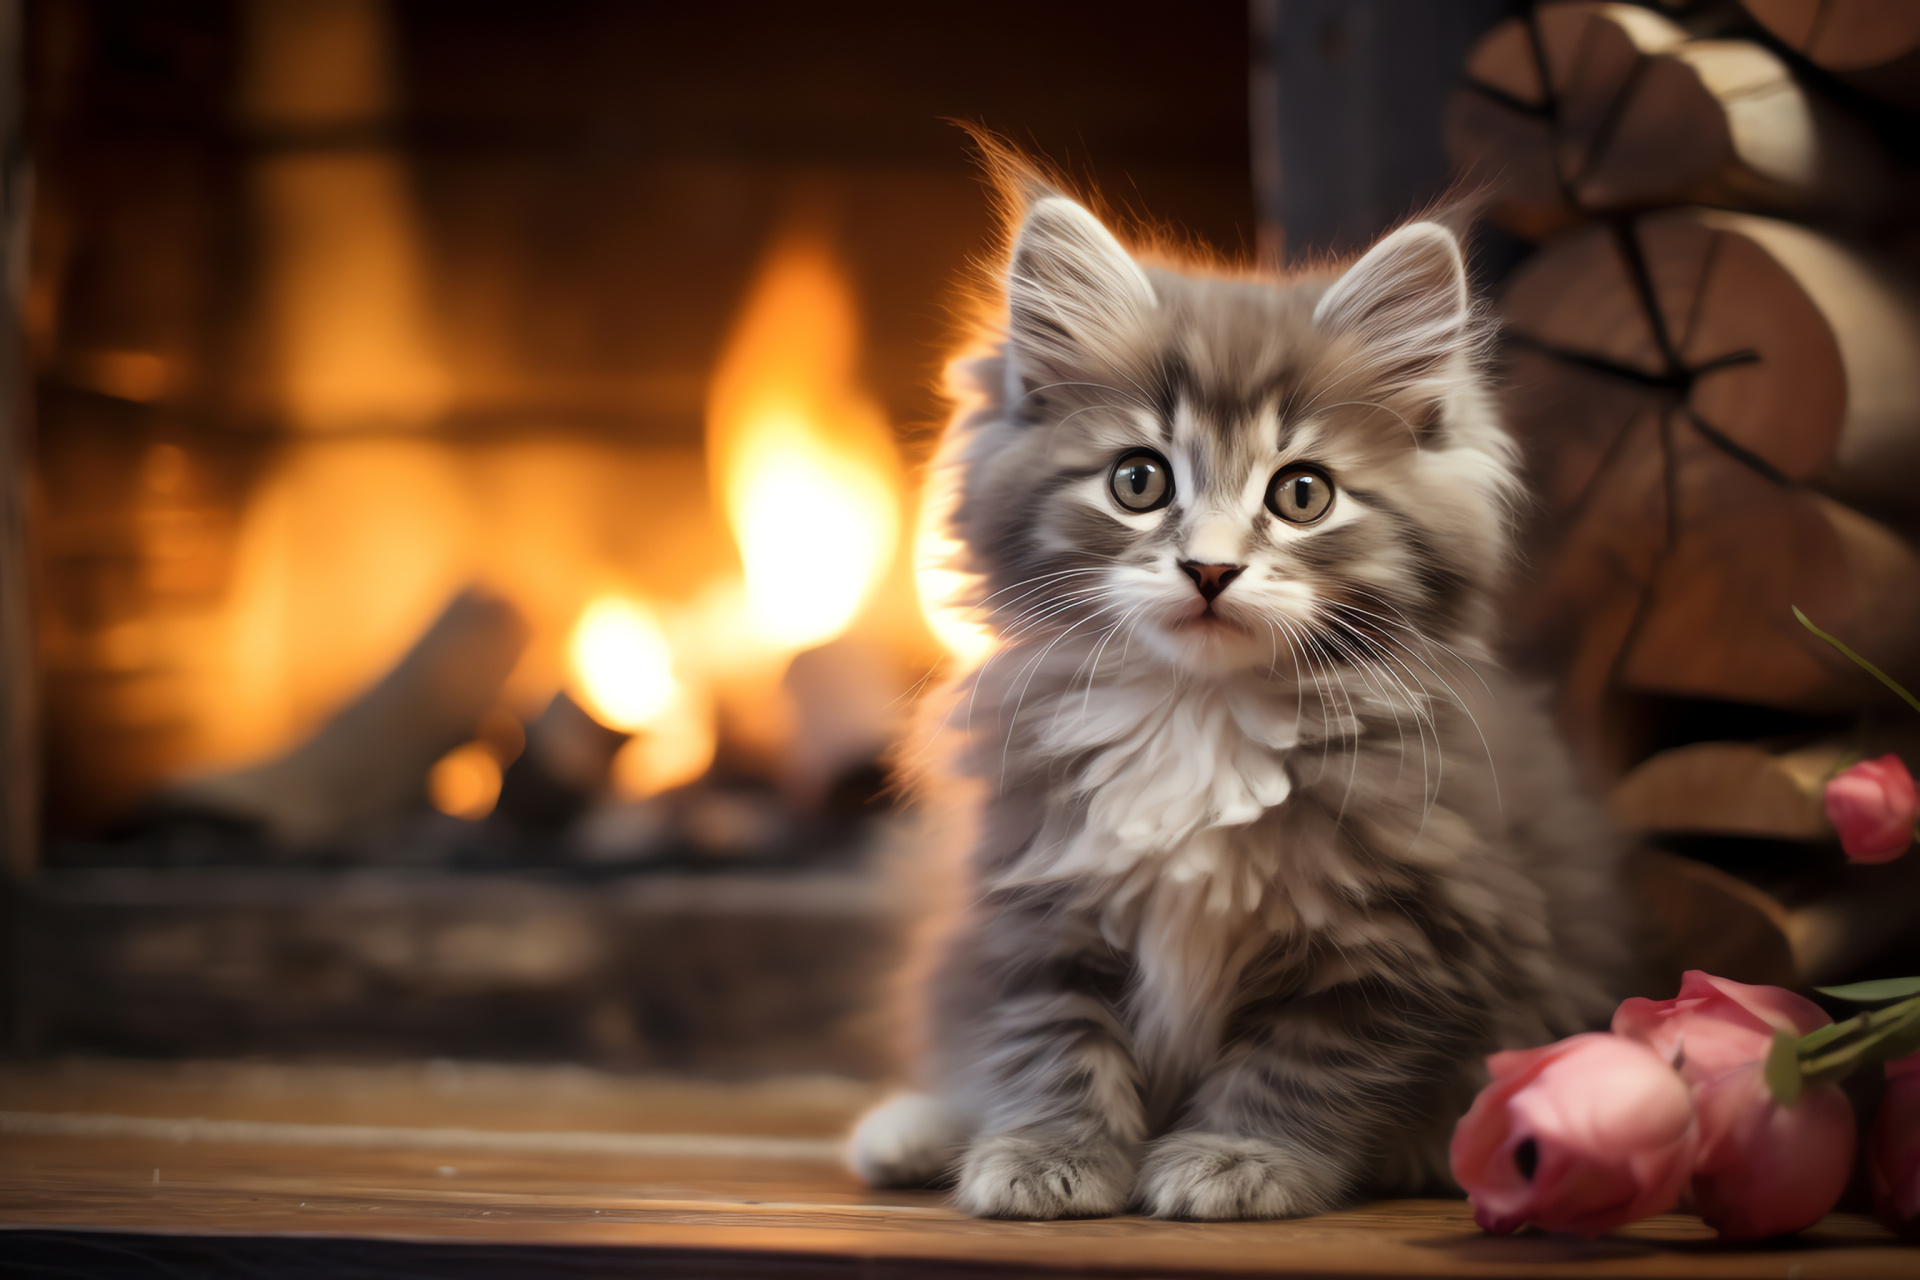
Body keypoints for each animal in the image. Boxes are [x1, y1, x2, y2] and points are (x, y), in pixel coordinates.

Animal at [848, 180, 1628, 1220]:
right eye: (1138, 480)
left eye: (1303, 494)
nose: (1211, 568)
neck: (1201, 715)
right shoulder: (1036, 893)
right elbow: (1052, 1037)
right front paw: (1048, 1156)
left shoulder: (1399, 939)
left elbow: (1300, 1063)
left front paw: (1237, 1160)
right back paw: (914, 1130)